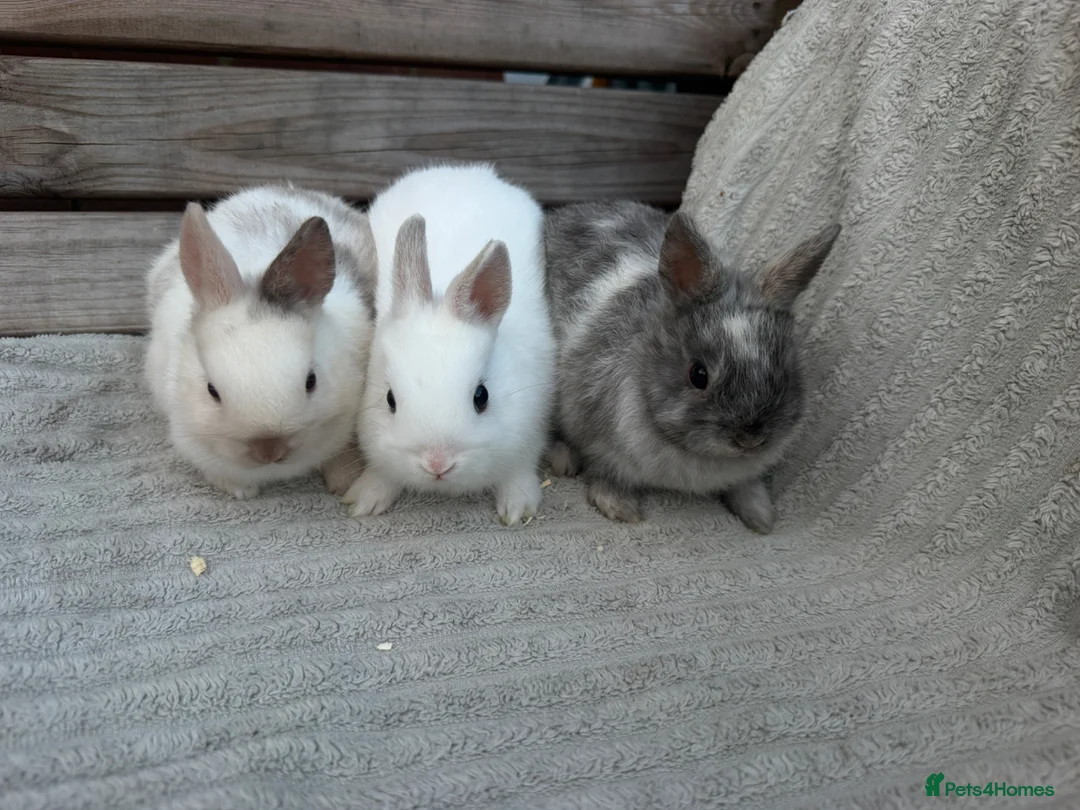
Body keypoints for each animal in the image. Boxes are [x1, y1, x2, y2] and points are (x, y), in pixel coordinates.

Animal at [343, 164, 555, 525]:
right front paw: (367, 498)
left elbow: (519, 470)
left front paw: (517, 509)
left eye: (482, 397)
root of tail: (462, 170)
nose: (437, 463)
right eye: (389, 399)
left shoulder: (530, 427)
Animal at [543, 201, 840, 533]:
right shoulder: (596, 436)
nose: (749, 439)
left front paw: (761, 517)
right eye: (698, 375)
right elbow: (605, 472)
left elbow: (745, 485)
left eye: (786, 370)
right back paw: (563, 461)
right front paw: (620, 508)